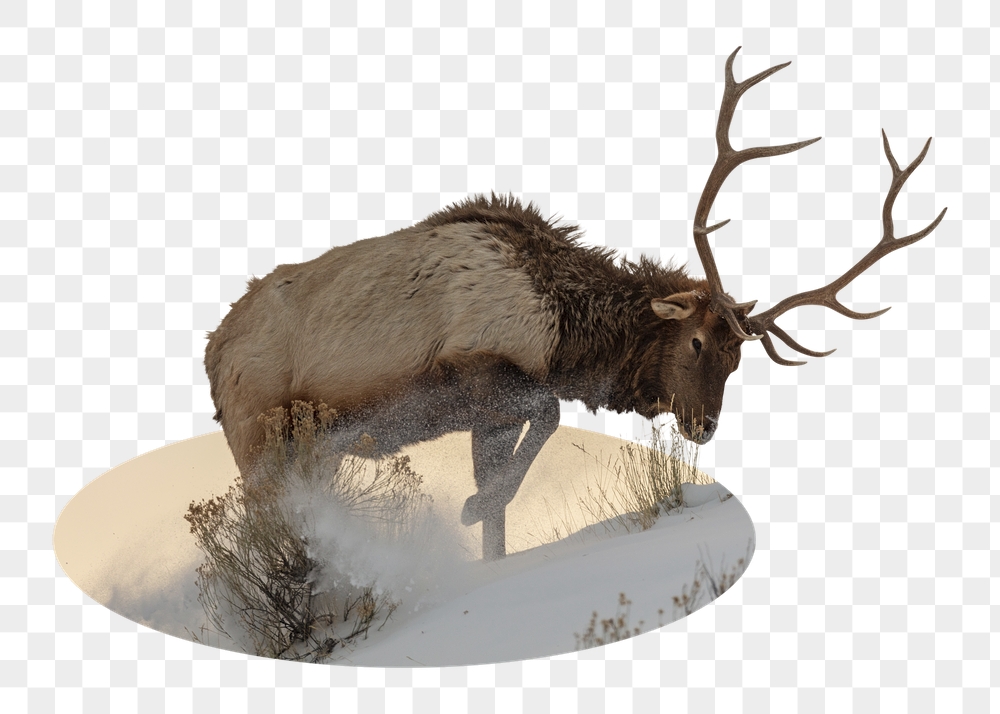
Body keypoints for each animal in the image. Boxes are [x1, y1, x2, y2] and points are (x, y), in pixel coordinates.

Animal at [204, 48, 945, 560]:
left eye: (739, 360)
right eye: (698, 342)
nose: (705, 426)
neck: (566, 334)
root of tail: (212, 352)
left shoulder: (488, 415)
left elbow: (504, 510)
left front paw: (485, 531)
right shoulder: (475, 368)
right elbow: (551, 416)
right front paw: (469, 507)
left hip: (311, 450)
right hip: (258, 434)